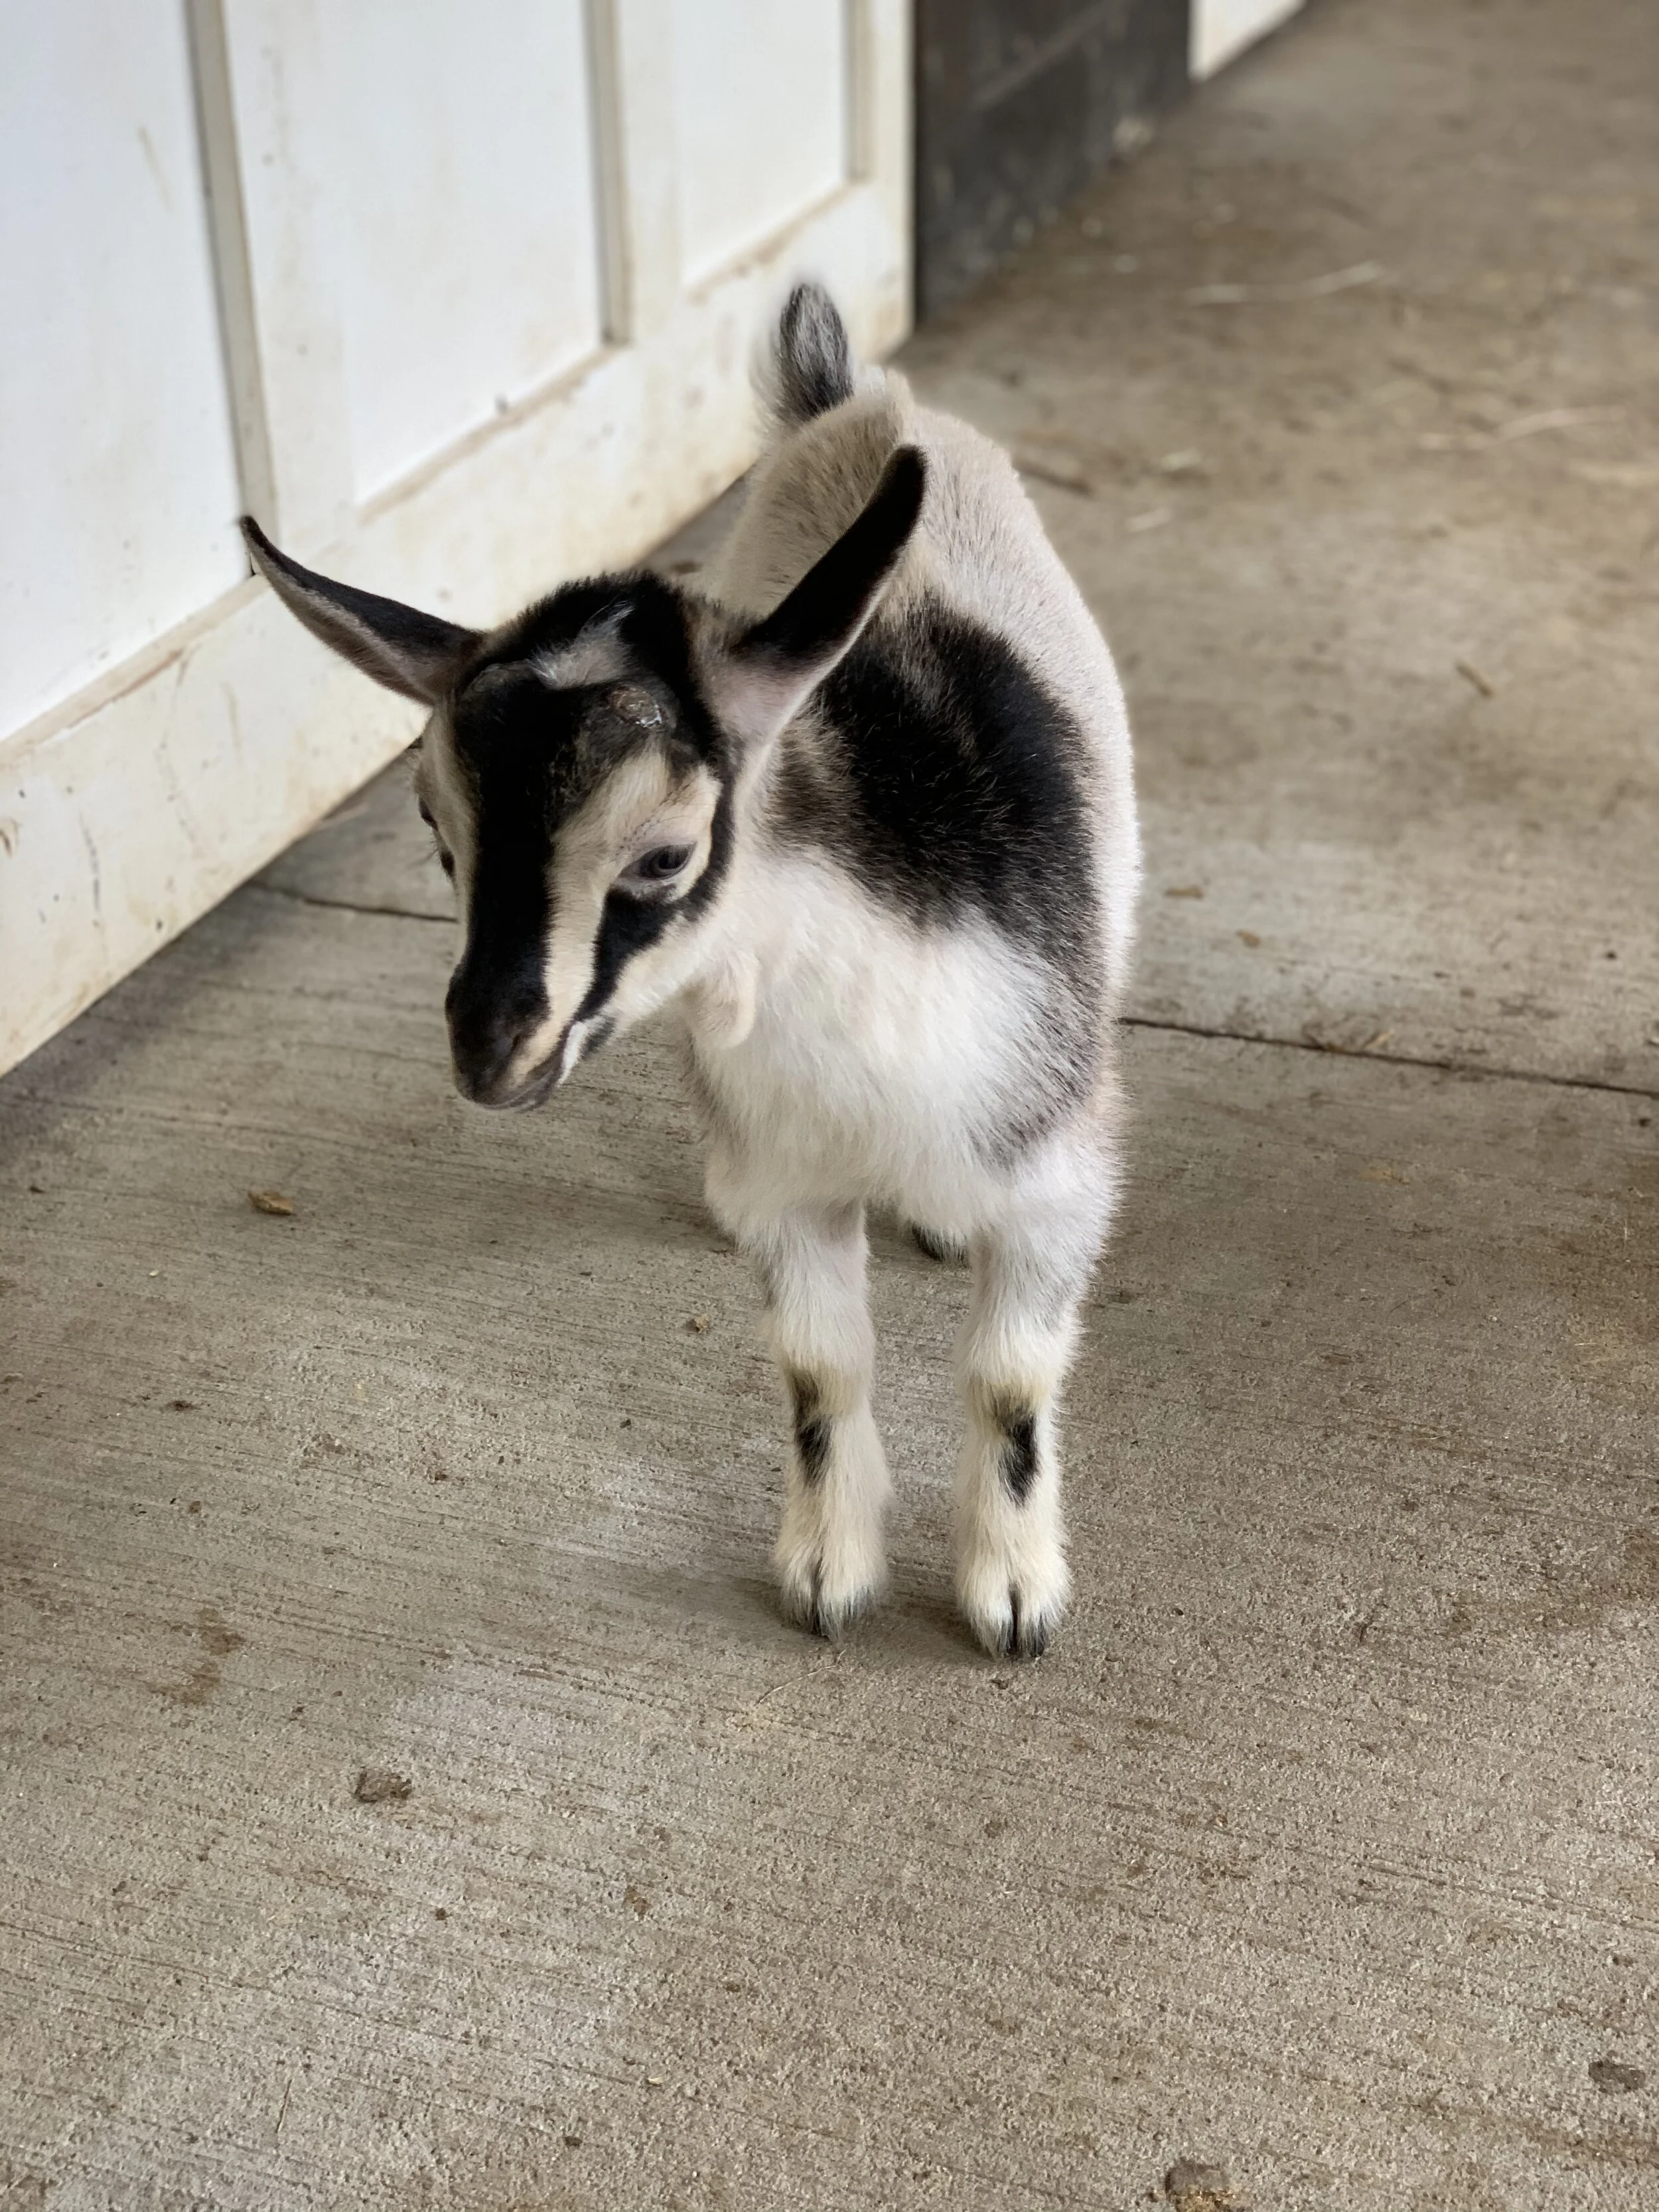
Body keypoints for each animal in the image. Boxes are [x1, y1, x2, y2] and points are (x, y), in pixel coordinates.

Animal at [242, 284, 1139, 1657]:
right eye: (439, 837)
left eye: (664, 855)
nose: (490, 1049)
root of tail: (853, 402)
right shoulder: (790, 1182)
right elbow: (821, 1365)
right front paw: (829, 1573)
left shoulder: (1058, 1180)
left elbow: (1009, 1377)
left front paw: (1012, 1593)